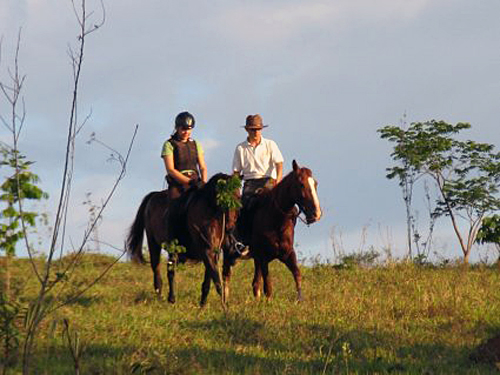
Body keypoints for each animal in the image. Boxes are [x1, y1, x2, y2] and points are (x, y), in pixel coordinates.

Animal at [126, 175, 241, 306]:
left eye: (238, 197)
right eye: (224, 197)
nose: (230, 227)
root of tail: (153, 196)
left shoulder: (213, 252)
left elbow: (208, 280)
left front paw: (203, 304)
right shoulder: (207, 251)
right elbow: (217, 281)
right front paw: (224, 306)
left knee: (170, 268)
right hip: (154, 242)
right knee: (160, 269)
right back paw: (165, 298)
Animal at [223, 161, 320, 302]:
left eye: (315, 183)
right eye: (301, 184)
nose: (316, 214)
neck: (276, 220)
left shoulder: (287, 254)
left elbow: (297, 274)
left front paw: (299, 300)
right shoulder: (263, 257)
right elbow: (268, 287)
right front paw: (269, 303)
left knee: (255, 283)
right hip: (228, 253)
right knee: (226, 276)